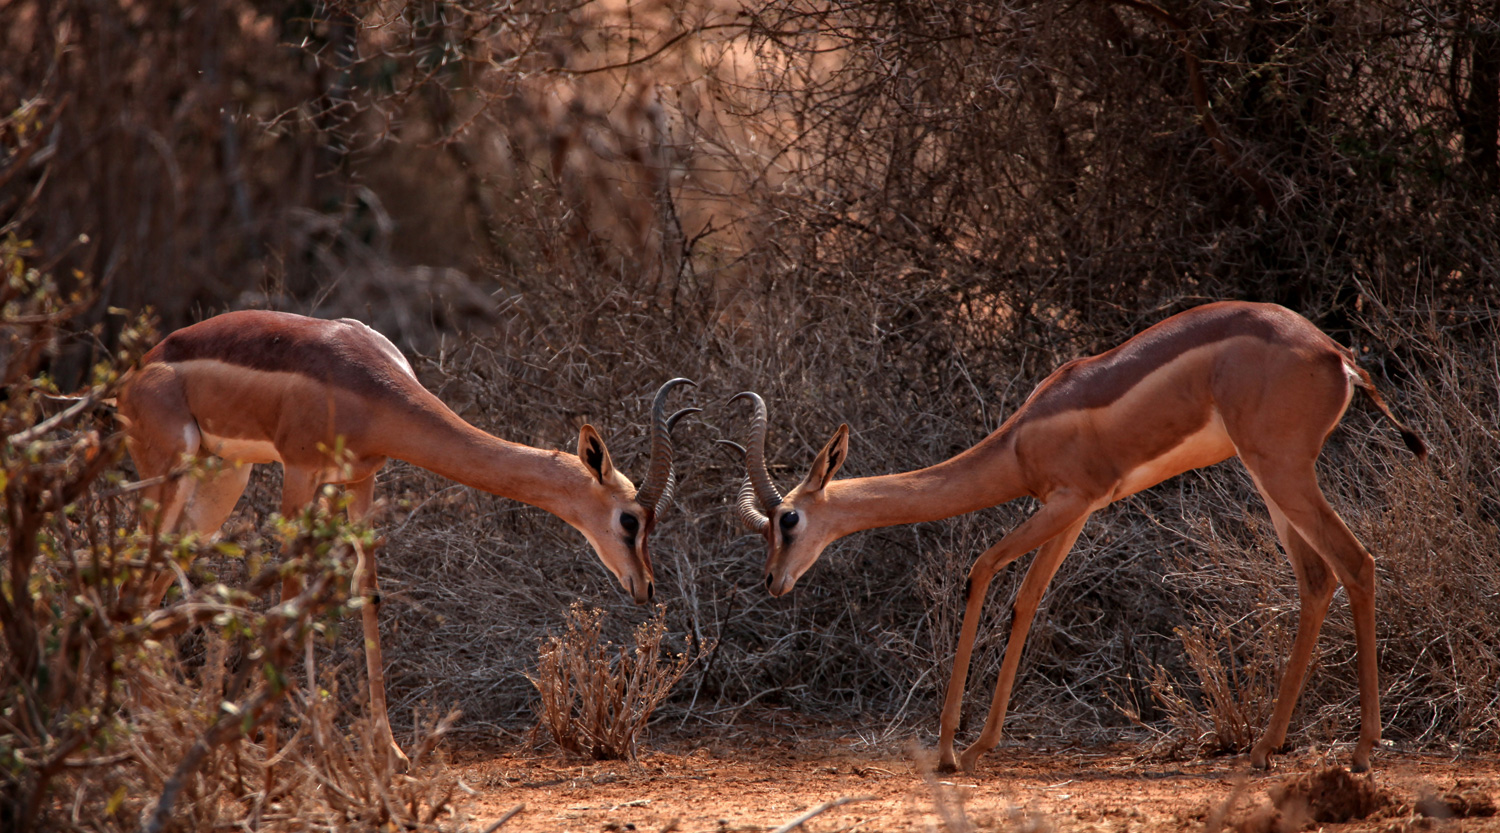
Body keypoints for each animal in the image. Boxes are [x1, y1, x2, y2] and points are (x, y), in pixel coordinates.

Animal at [118, 309, 696, 765]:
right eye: (630, 520)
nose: (644, 588)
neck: (363, 383)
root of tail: (139, 369)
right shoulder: (300, 472)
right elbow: (290, 595)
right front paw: (275, 750)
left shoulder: (359, 480)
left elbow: (366, 593)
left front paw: (389, 751)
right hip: (171, 475)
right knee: (133, 583)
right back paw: (152, 738)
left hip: (221, 482)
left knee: (150, 589)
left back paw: (158, 732)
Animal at [732, 301, 1422, 774]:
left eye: (787, 519)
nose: (772, 582)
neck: (1020, 438)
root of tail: (1335, 354)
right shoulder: (1075, 512)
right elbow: (1027, 600)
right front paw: (982, 745)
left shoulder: (1066, 501)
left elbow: (981, 571)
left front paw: (951, 751)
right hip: (1269, 478)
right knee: (1318, 578)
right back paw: (1264, 749)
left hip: (1281, 469)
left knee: (1358, 562)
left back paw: (1361, 751)